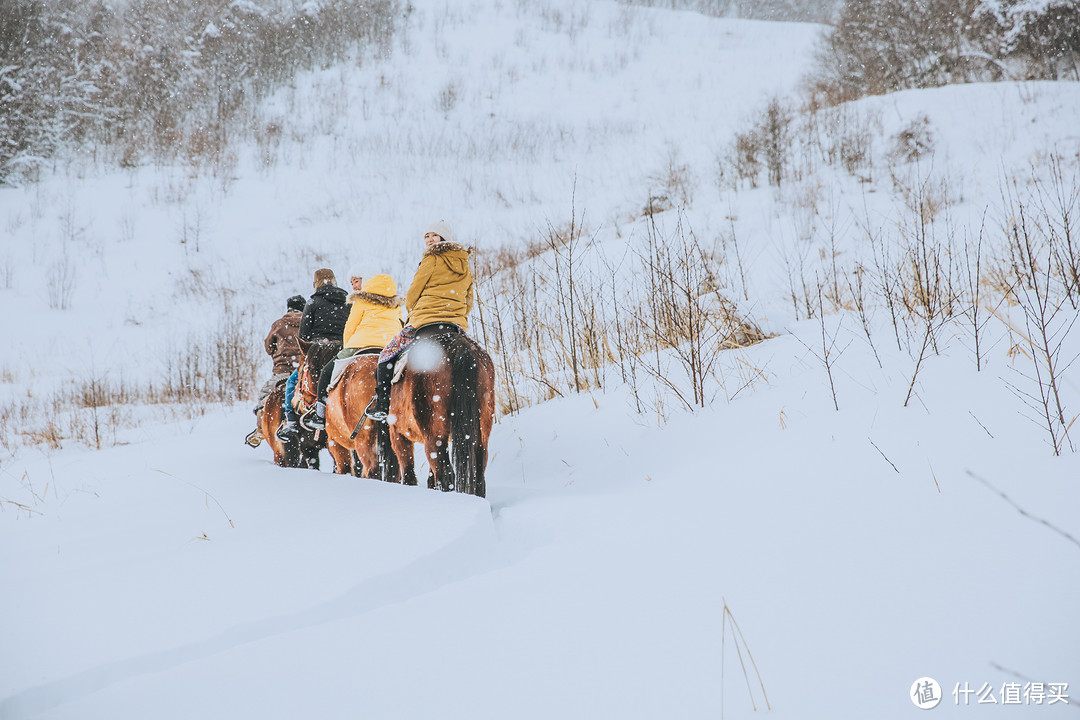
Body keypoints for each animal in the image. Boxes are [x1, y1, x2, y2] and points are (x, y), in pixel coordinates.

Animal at [382, 323, 494, 498]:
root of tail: (460, 347)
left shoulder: (398, 435)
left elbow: (408, 474)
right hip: (481, 433)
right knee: (478, 473)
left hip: (433, 435)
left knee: (445, 475)